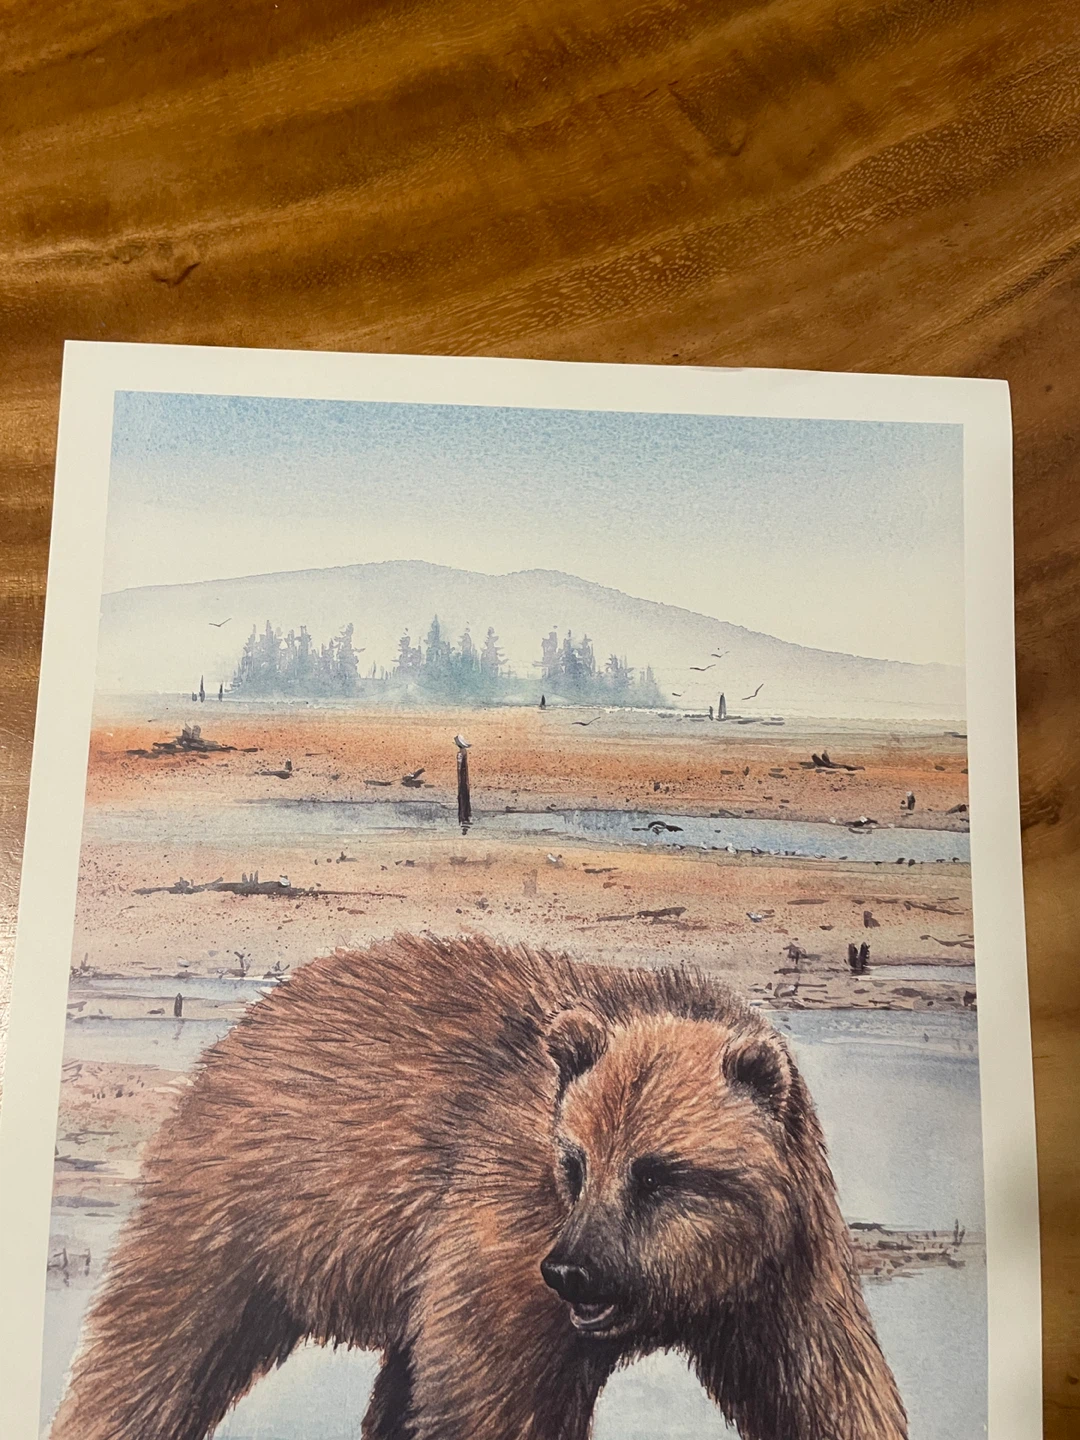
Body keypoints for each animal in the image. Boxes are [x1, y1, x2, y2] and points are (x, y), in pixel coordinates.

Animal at [51, 933, 907, 1440]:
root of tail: (251, 1021)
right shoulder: (505, 1229)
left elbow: (827, 1389)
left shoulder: (785, 1275)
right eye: (574, 1163)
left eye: (658, 1173)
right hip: (243, 1207)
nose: (572, 1270)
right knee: (156, 1348)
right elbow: (497, 1398)